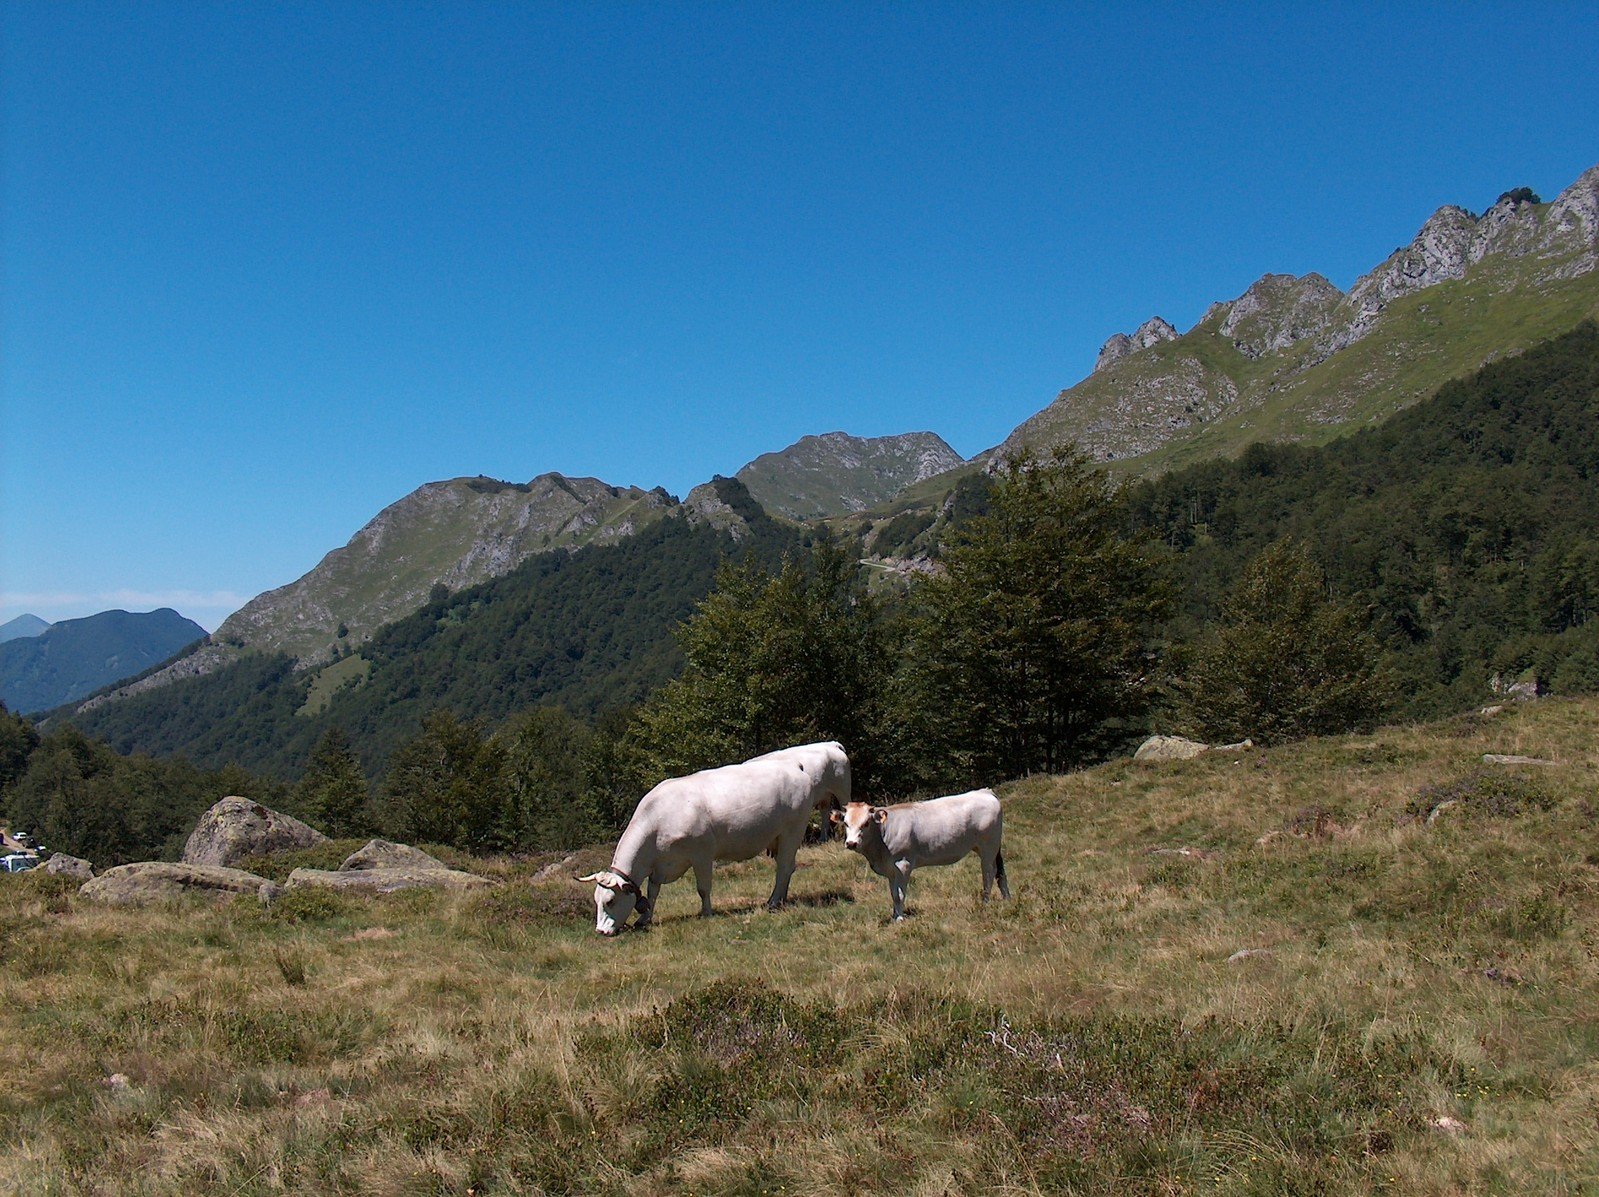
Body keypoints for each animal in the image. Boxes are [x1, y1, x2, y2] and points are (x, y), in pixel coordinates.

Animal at [575, 738, 850, 933]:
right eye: (596, 900)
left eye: (610, 900)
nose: (600, 932)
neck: (658, 819)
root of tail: (795, 766)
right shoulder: (660, 865)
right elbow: (653, 891)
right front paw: (645, 917)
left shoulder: (702, 854)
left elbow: (703, 888)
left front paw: (706, 913)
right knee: (789, 866)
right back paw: (780, 899)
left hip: (794, 829)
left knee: (783, 867)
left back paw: (772, 902)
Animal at [831, 789, 1004, 920]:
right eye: (846, 823)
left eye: (866, 823)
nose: (851, 843)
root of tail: (985, 792)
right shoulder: (891, 870)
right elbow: (893, 894)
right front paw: (895, 916)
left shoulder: (903, 865)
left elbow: (900, 895)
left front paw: (900, 919)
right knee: (1000, 873)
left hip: (988, 848)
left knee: (989, 873)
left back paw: (985, 902)